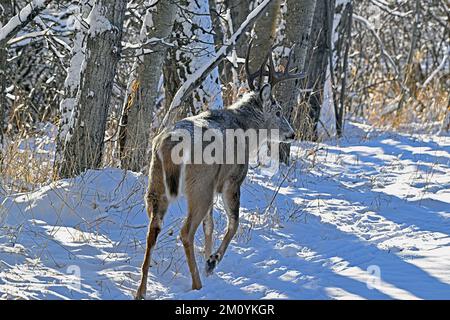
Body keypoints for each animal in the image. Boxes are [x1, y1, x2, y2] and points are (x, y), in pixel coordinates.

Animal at [134, 42, 302, 300]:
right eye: (278, 111)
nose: (292, 133)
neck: (247, 131)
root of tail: (168, 143)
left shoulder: (213, 187)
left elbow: (210, 225)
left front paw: (207, 257)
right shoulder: (231, 180)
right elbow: (234, 223)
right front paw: (212, 261)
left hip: (156, 183)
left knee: (153, 229)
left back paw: (141, 290)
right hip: (199, 184)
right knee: (185, 231)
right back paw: (197, 283)